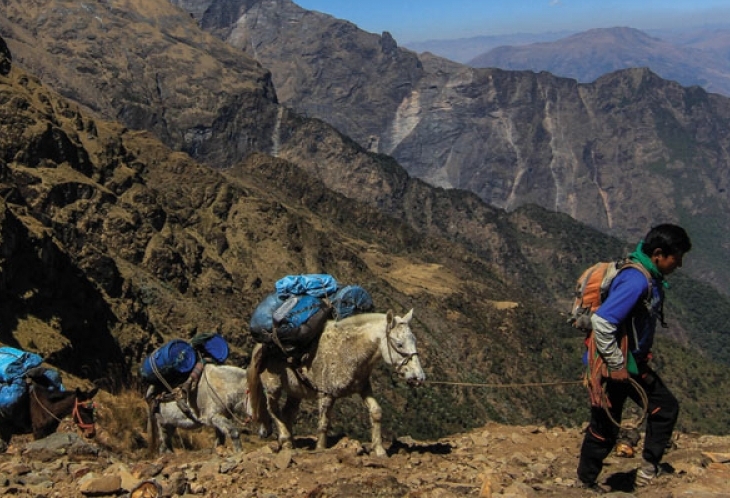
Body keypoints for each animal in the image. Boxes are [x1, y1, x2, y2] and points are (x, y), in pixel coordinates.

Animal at [247, 310, 424, 458]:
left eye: (414, 340)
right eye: (399, 344)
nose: (419, 377)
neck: (349, 351)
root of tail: (260, 346)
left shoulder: (364, 388)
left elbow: (376, 412)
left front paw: (379, 450)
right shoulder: (326, 394)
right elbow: (324, 423)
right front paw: (320, 449)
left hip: (295, 392)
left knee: (287, 413)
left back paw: (291, 442)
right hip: (273, 387)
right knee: (273, 410)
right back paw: (286, 440)